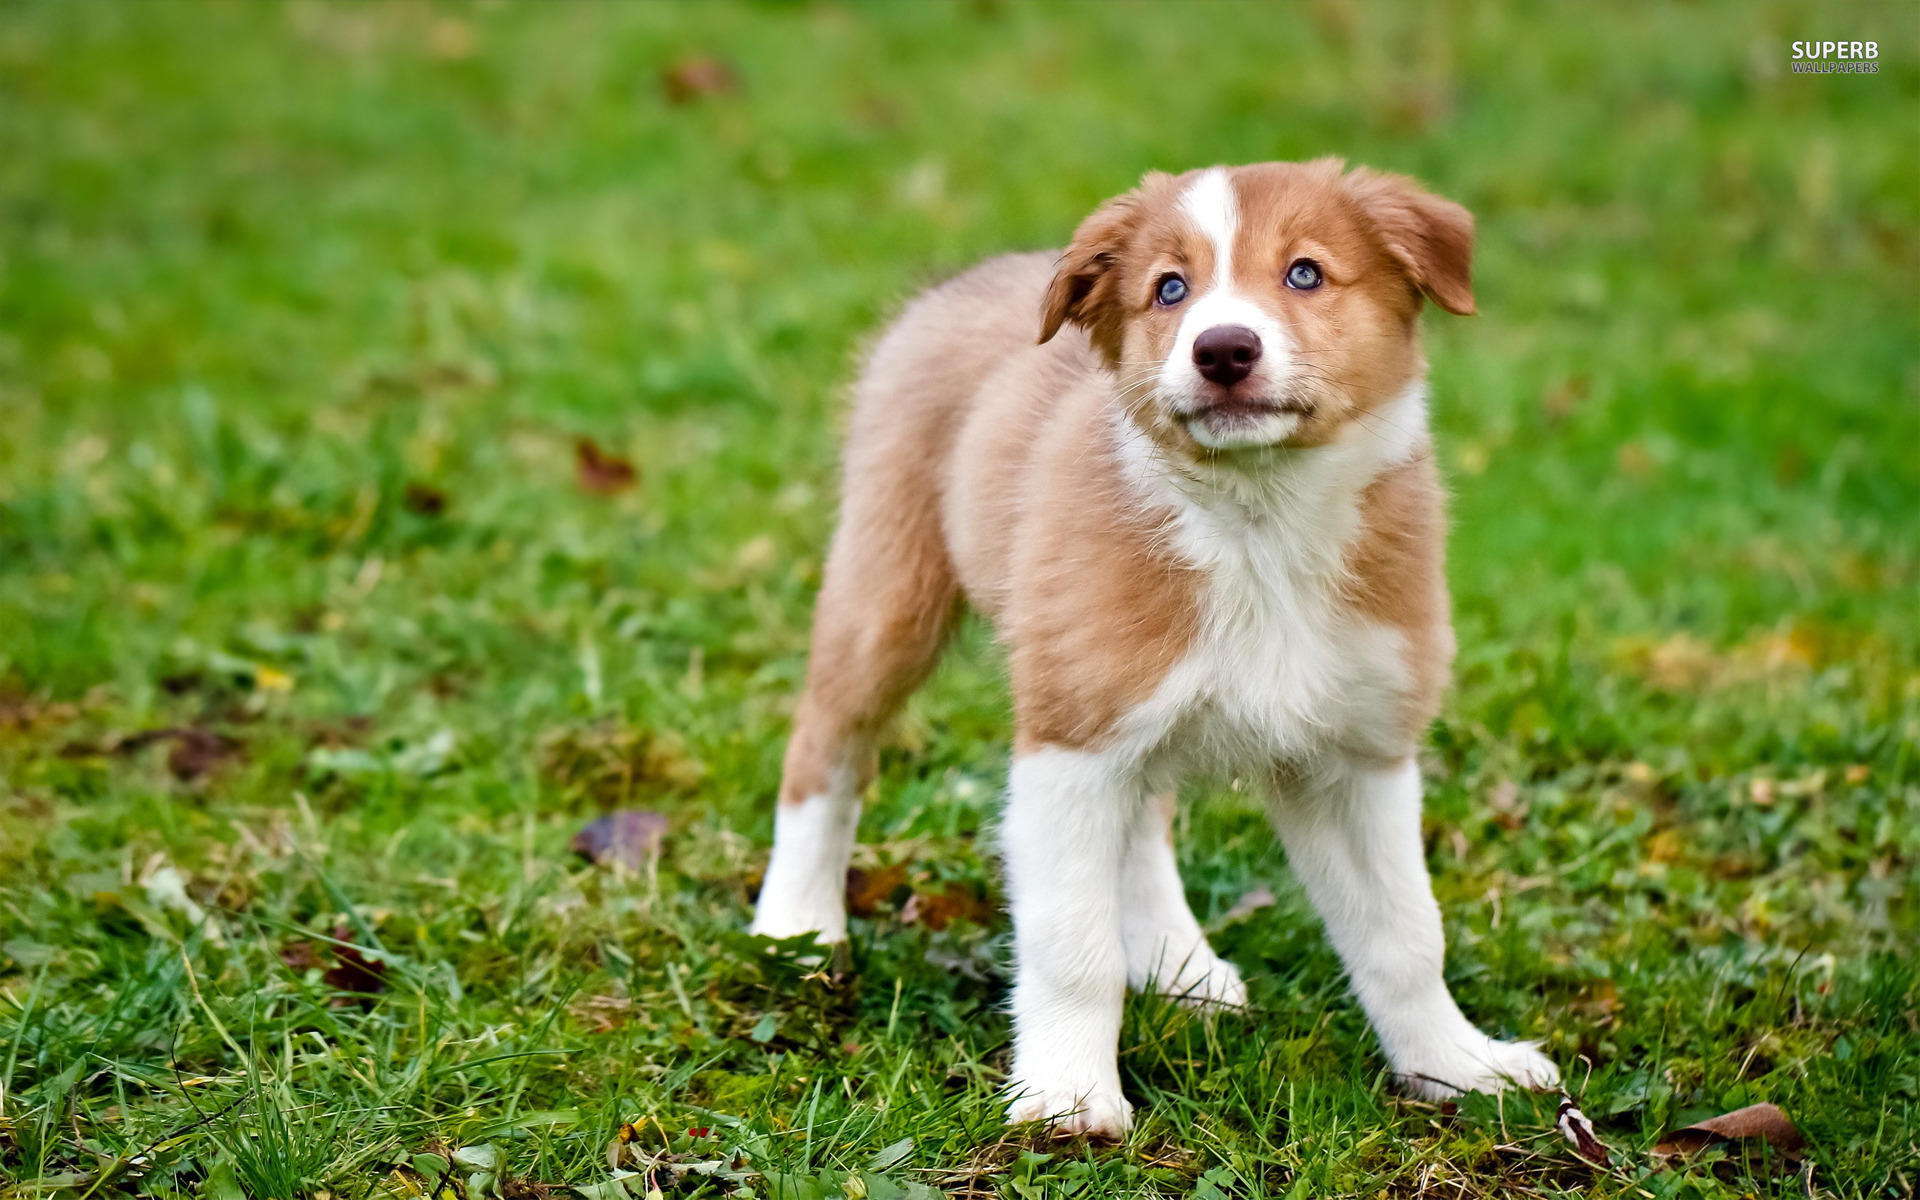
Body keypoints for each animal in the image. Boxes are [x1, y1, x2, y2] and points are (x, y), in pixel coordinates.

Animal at [748, 156, 1559, 1128]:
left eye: (1305, 273)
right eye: (1170, 289)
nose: (1224, 350)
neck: (1259, 524)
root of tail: (968, 277)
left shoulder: (1357, 754)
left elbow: (1405, 935)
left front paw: (1458, 1067)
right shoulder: (1068, 746)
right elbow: (1071, 946)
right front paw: (1068, 1097)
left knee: (1142, 822)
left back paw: (1181, 965)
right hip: (890, 593)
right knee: (824, 747)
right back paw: (796, 927)